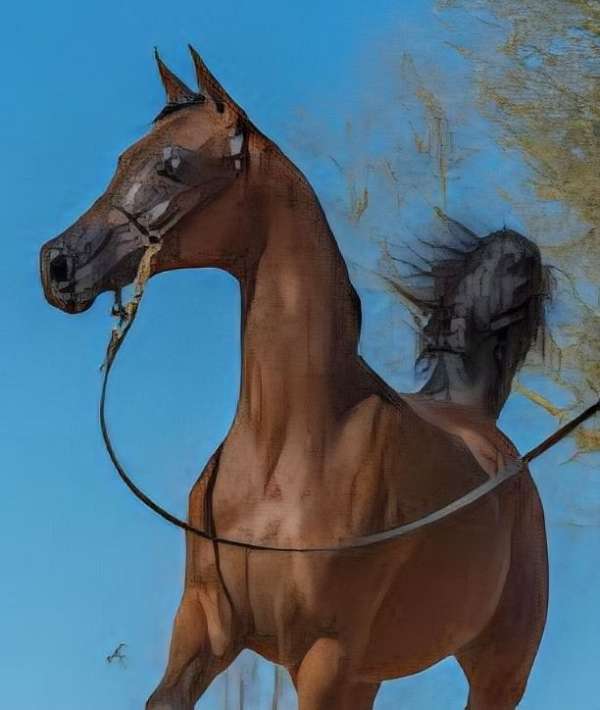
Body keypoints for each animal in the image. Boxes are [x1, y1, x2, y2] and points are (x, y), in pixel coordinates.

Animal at [40, 47, 548, 709]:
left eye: (174, 166)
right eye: (124, 158)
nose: (57, 264)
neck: (286, 448)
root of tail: (478, 420)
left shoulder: (324, 656)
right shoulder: (203, 629)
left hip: (498, 667)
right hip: (370, 673)